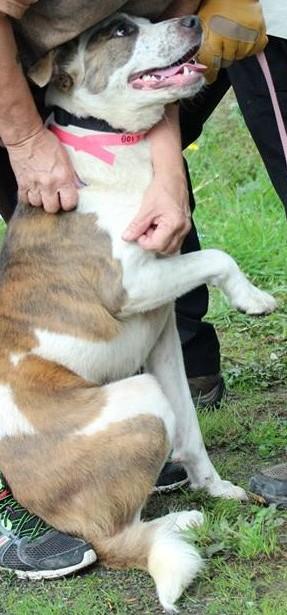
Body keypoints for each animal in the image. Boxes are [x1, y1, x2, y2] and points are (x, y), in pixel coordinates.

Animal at [0, 13, 278, 612]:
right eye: (118, 31)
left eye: (149, 17)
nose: (193, 18)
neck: (113, 142)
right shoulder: (132, 284)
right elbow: (218, 256)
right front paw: (253, 299)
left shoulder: (163, 332)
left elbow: (192, 431)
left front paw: (217, 487)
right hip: (141, 399)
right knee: (120, 536)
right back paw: (179, 525)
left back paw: (191, 513)